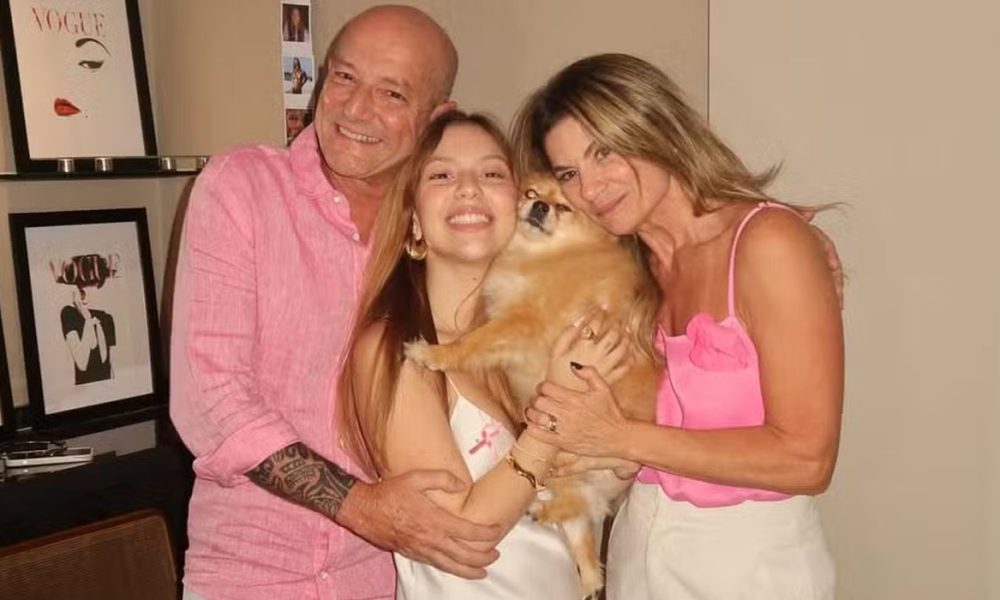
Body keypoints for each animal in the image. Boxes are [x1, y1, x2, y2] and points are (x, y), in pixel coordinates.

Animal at [406, 174, 661, 598]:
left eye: (563, 207)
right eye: (531, 194)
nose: (539, 207)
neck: (548, 254)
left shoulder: (519, 323)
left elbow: (471, 343)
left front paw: (435, 354)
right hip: (564, 473)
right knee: (585, 525)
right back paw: (581, 570)